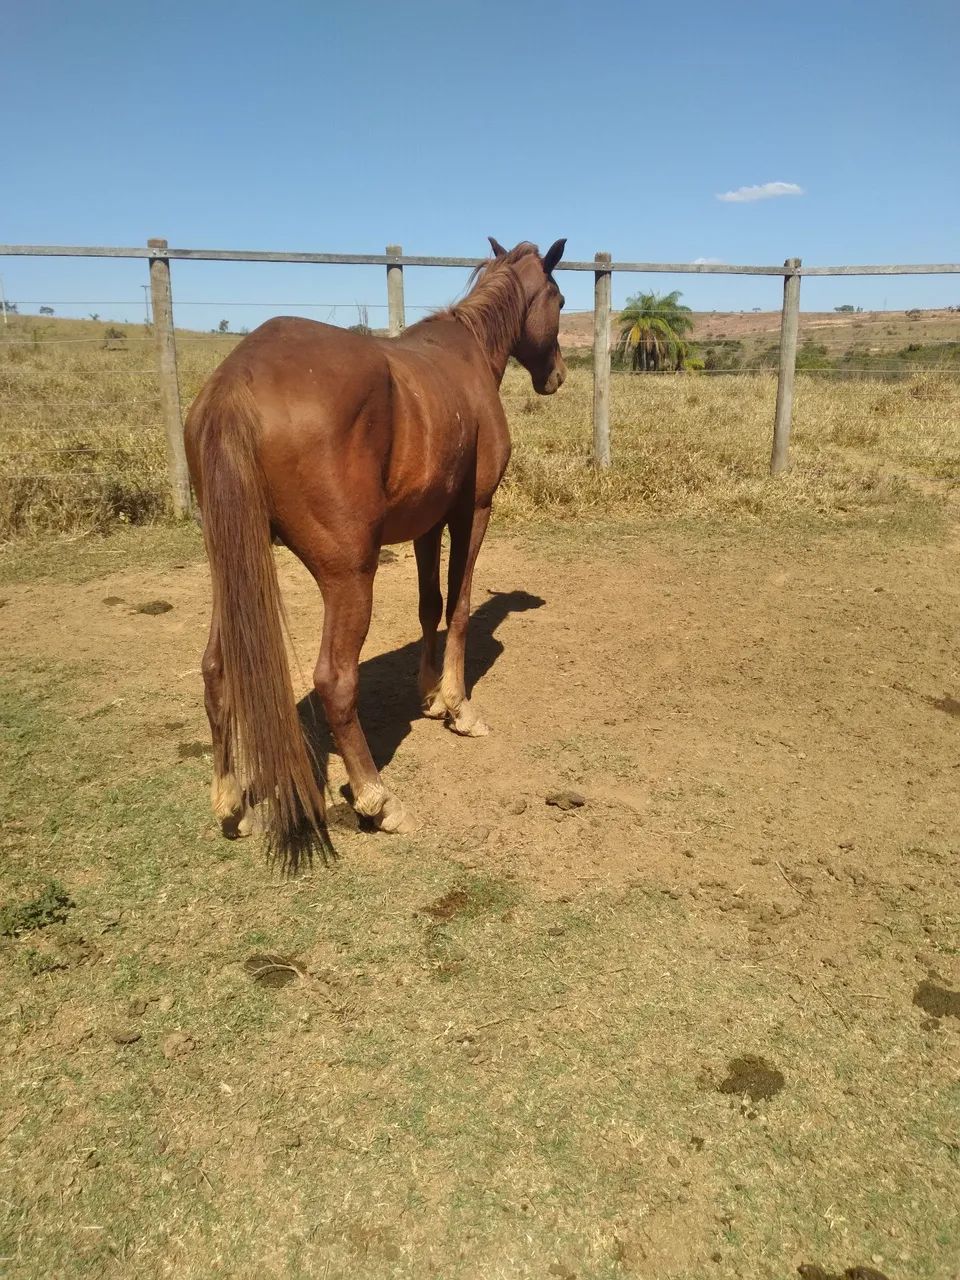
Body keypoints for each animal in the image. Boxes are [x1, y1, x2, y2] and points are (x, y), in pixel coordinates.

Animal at [184, 236, 567, 868]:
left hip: (232, 566)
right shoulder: (473, 511)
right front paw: (458, 706)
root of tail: (236, 380)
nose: (556, 375)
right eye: (558, 299)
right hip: (349, 575)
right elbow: (460, 605)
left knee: (217, 670)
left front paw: (430, 694)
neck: (467, 354)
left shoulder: (426, 523)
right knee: (335, 682)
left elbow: (429, 605)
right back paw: (378, 800)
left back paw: (230, 801)